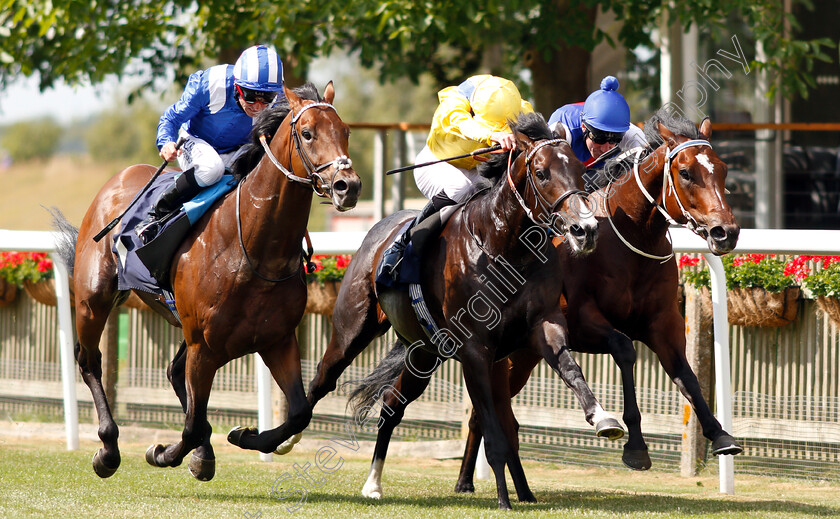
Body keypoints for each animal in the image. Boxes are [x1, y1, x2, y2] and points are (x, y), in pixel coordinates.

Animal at [51, 83, 360, 482]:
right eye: (307, 133)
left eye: (346, 132)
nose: (348, 186)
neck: (255, 251)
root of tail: (118, 179)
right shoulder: (204, 346)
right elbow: (193, 424)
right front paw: (163, 452)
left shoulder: (277, 340)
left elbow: (298, 413)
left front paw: (244, 436)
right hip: (94, 299)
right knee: (90, 361)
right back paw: (108, 448)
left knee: (172, 371)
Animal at [302, 114, 624, 512]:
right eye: (541, 172)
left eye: (579, 170)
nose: (585, 230)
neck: (504, 246)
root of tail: (376, 232)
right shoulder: (475, 349)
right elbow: (493, 429)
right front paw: (502, 499)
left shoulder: (542, 324)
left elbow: (569, 369)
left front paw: (603, 418)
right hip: (353, 330)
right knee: (323, 378)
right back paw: (284, 440)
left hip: (425, 352)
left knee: (392, 404)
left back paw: (375, 483)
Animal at [348, 108, 740, 500]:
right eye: (686, 172)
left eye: (722, 169)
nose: (726, 232)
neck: (628, 239)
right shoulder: (581, 320)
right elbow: (624, 347)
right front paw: (636, 447)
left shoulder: (663, 323)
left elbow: (685, 374)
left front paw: (720, 434)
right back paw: (464, 481)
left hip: (513, 355)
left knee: (490, 415)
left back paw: (492, 485)